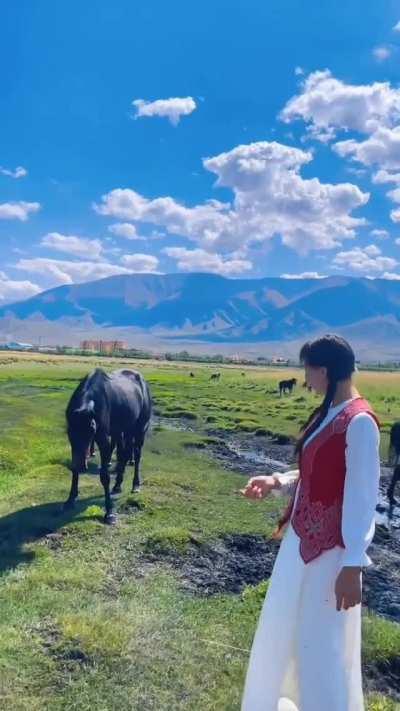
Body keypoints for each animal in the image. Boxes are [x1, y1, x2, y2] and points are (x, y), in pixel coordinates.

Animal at [65, 370, 152, 524]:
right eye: (70, 432)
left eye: (91, 430)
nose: (82, 465)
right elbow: (74, 470)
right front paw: (70, 500)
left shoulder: (104, 441)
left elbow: (105, 476)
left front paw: (110, 512)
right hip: (124, 431)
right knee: (124, 455)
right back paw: (118, 485)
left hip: (140, 430)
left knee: (136, 455)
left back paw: (136, 485)